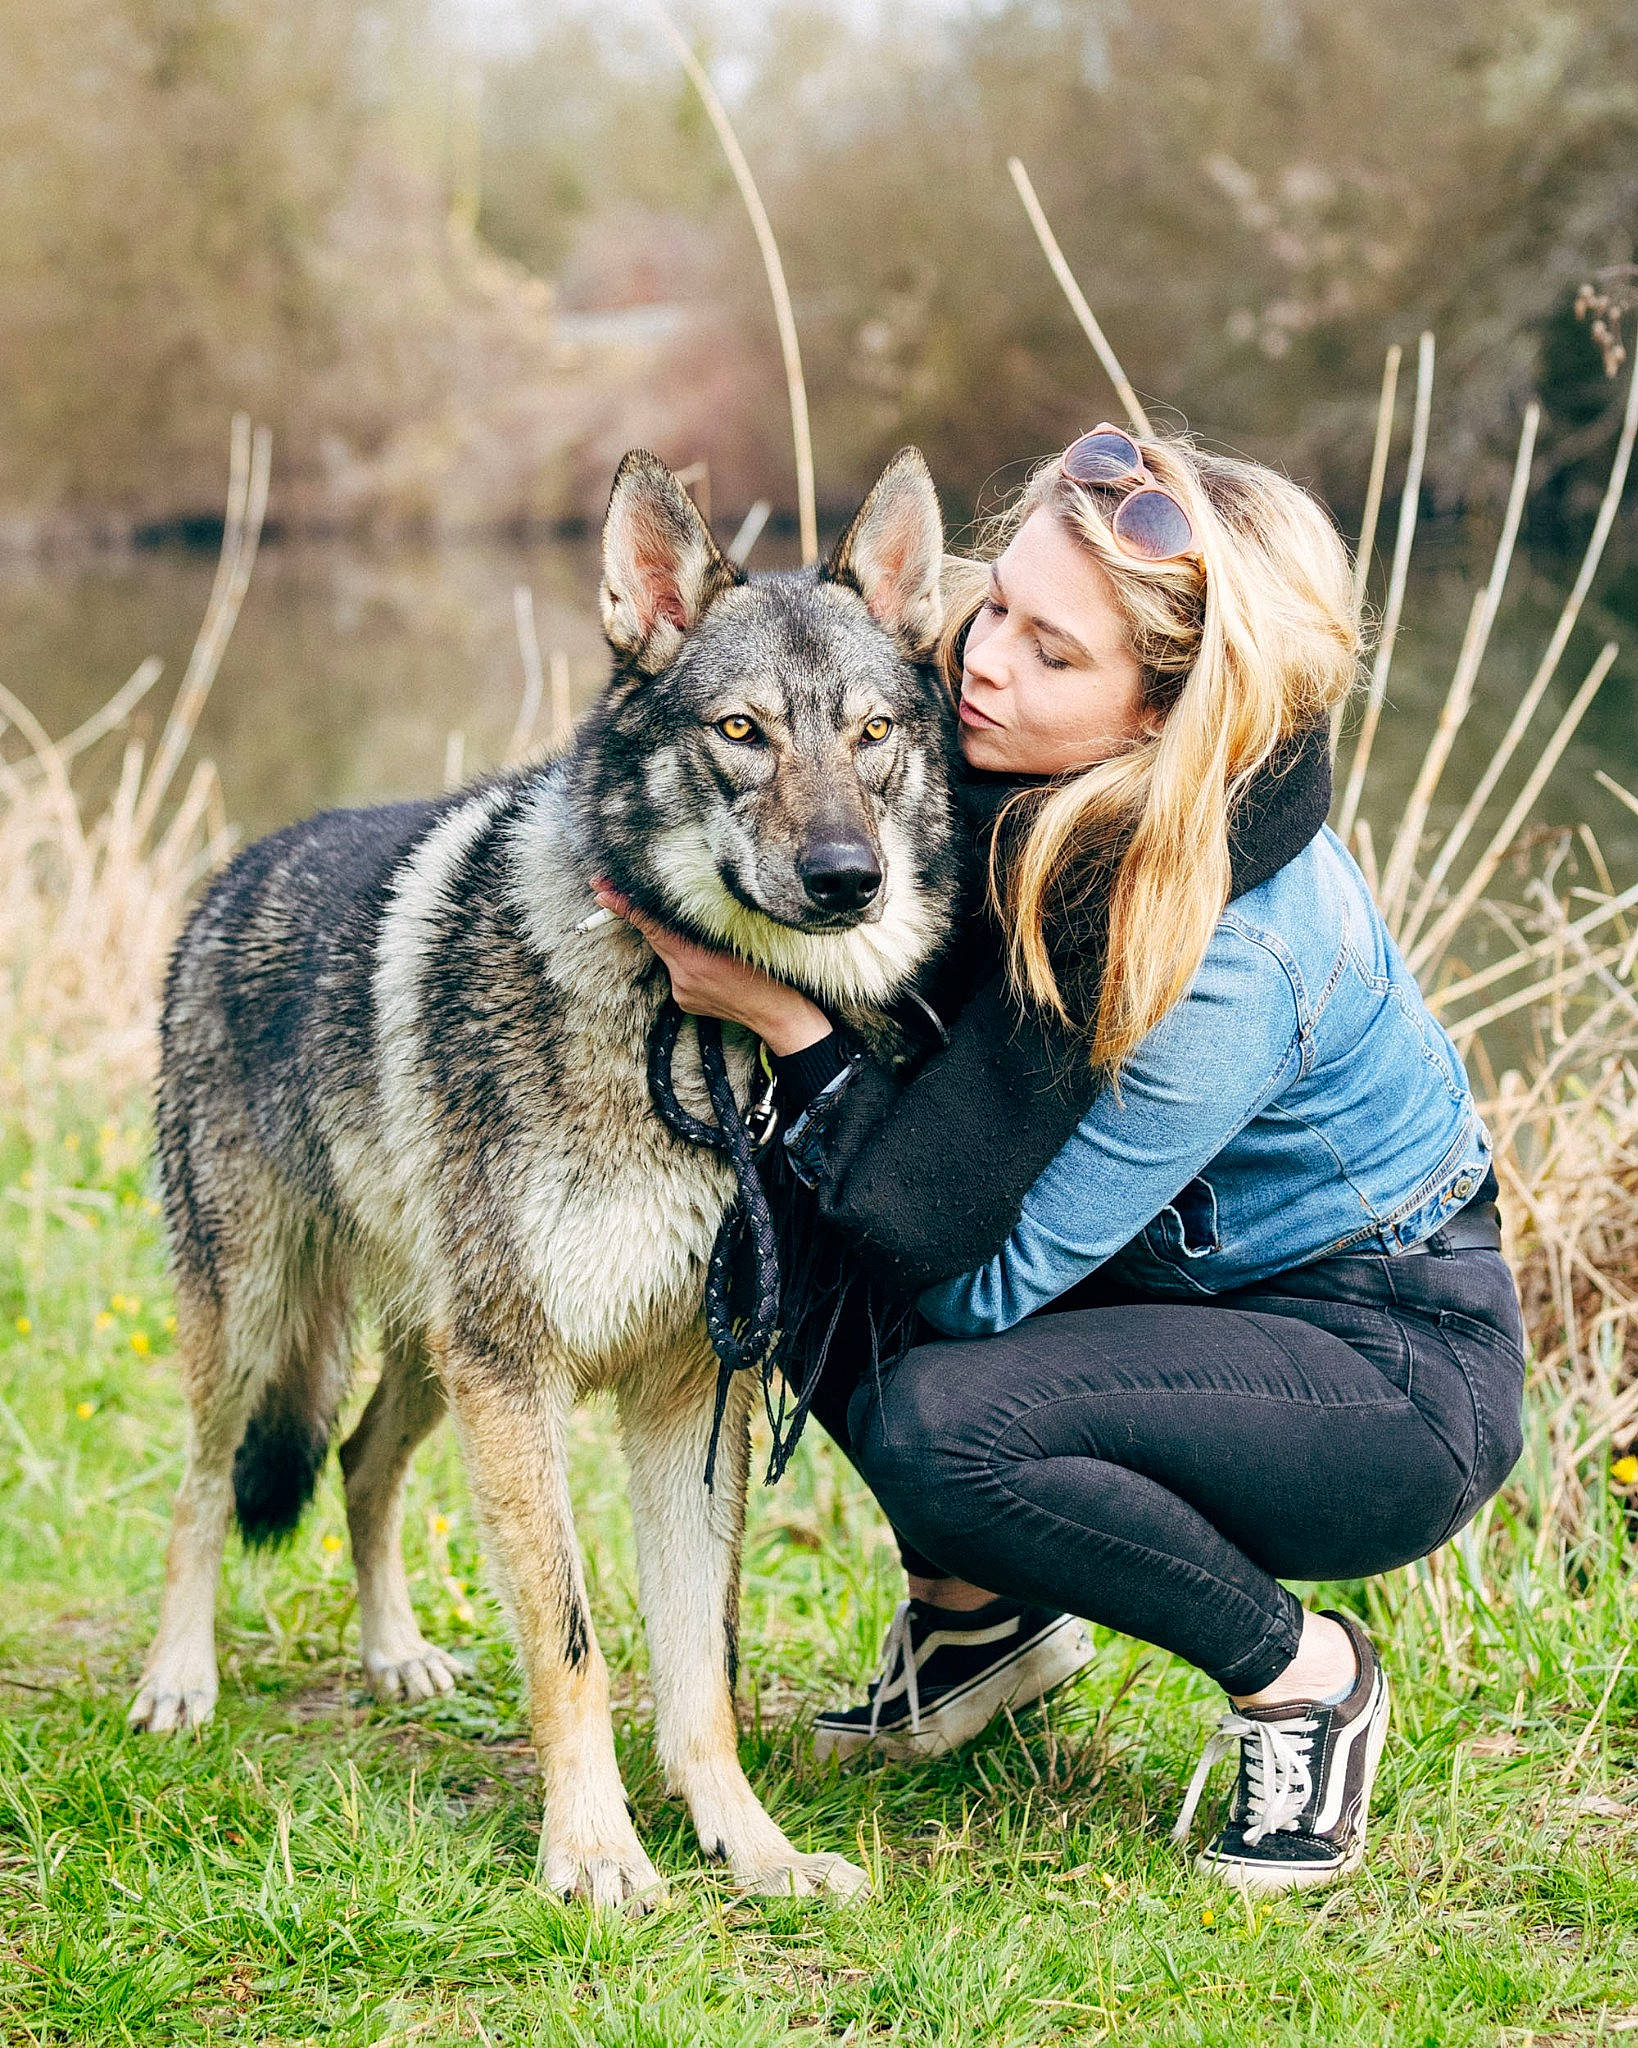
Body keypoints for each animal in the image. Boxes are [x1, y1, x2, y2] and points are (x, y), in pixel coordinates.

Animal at [129, 446, 960, 1907]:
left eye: (872, 734)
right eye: (740, 731)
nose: (846, 878)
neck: (704, 1044)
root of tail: (227, 877)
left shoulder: (683, 1391)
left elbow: (701, 1667)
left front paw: (748, 1846)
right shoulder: (516, 1373)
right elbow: (571, 1643)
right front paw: (595, 1854)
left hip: (429, 1353)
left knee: (360, 1465)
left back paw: (396, 1656)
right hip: (274, 1325)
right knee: (203, 1486)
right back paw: (179, 1681)